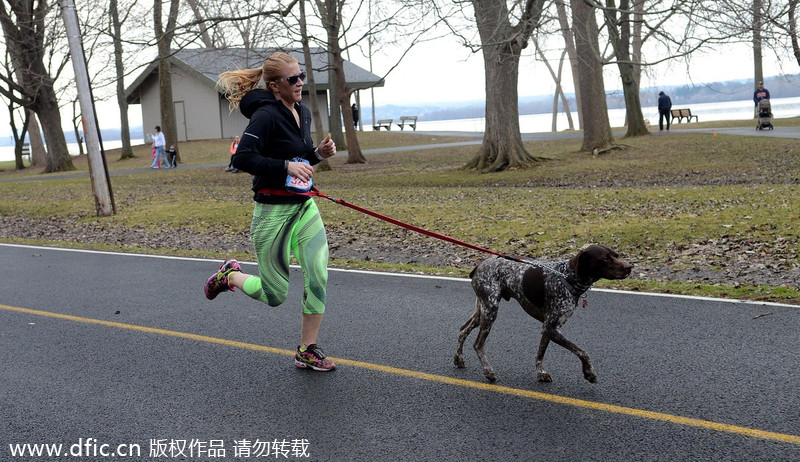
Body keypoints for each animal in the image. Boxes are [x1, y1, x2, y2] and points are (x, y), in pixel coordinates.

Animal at [456, 245, 632, 382]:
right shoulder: (550, 328)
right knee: (478, 344)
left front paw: (540, 372)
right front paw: (589, 373)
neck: (567, 277)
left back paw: (458, 358)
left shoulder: (549, 328)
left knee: (463, 330)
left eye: (616, 255)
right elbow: (583, 351)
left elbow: (540, 353)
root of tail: (479, 265)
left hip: (482, 311)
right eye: (605, 259)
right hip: (490, 310)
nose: (630, 267)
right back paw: (488, 371)